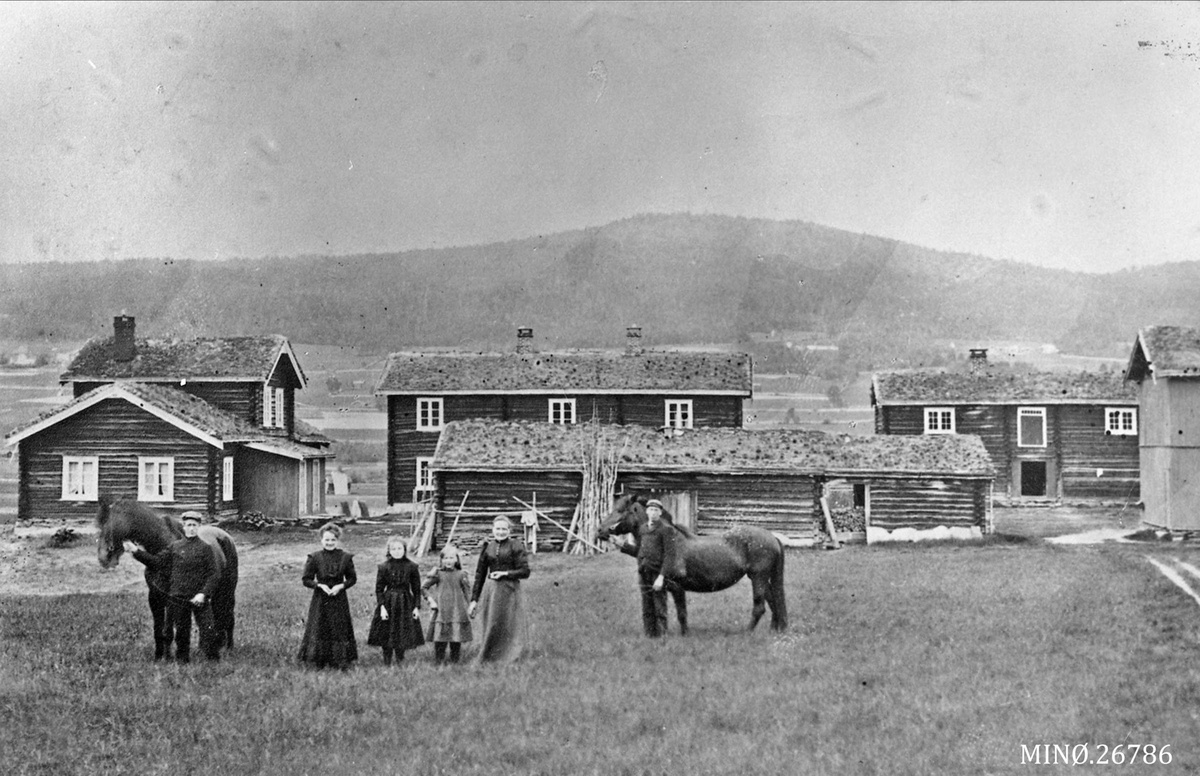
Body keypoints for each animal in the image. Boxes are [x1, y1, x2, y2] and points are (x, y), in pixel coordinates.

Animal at [98, 498, 241, 662]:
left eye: (114, 521)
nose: (103, 557)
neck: (161, 548)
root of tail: (225, 536)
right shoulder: (155, 598)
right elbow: (158, 630)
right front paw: (159, 656)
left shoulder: (171, 599)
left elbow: (168, 631)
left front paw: (168, 657)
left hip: (227, 591)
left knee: (228, 615)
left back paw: (228, 648)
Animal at [600, 494, 787, 633]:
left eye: (619, 510)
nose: (601, 531)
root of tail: (772, 537)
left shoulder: (677, 587)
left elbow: (681, 614)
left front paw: (684, 635)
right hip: (761, 578)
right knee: (773, 601)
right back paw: (775, 629)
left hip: (758, 577)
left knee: (760, 606)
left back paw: (747, 632)